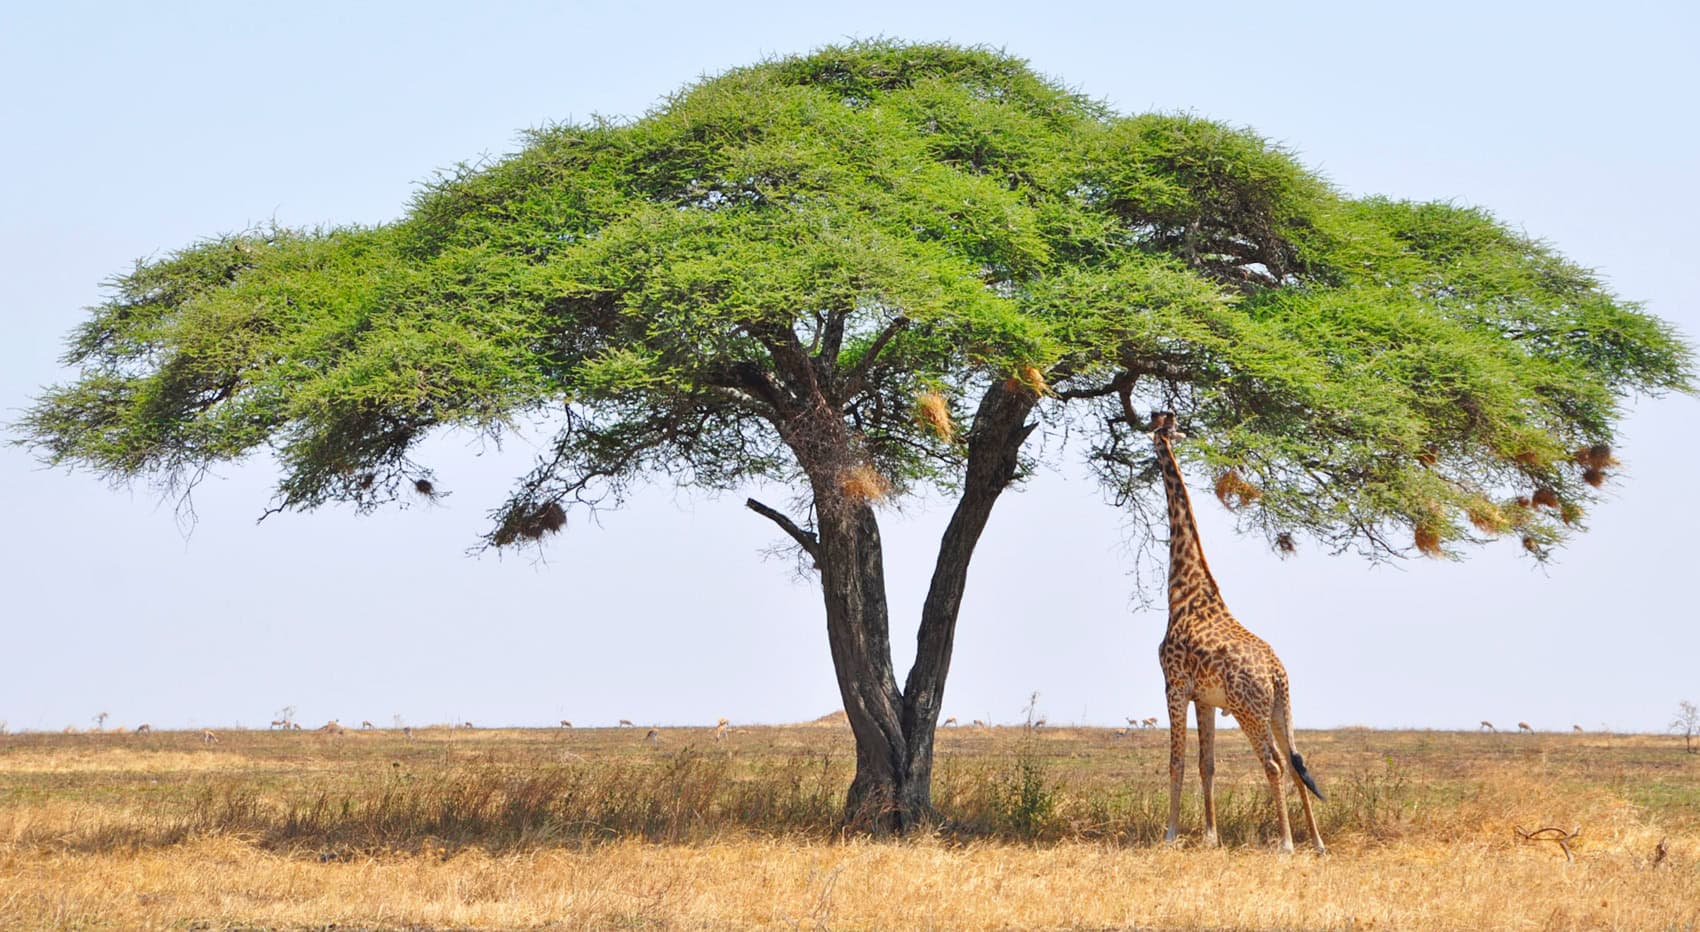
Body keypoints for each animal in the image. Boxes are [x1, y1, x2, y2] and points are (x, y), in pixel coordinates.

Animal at [1144, 409, 1325, 854]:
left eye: (1161, 427)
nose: (1166, 435)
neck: (1184, 590)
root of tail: (1277, 674)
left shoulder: (1174, 684)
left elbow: (1176, 761)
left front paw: (1170, 835)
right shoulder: (1205, 697)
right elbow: (1206, 764)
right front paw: (1211, 837)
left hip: (1249, 709)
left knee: (1275, 764)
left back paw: (1286, 844)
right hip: (1279, 709)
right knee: (1297, 762)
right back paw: (1317, 843)